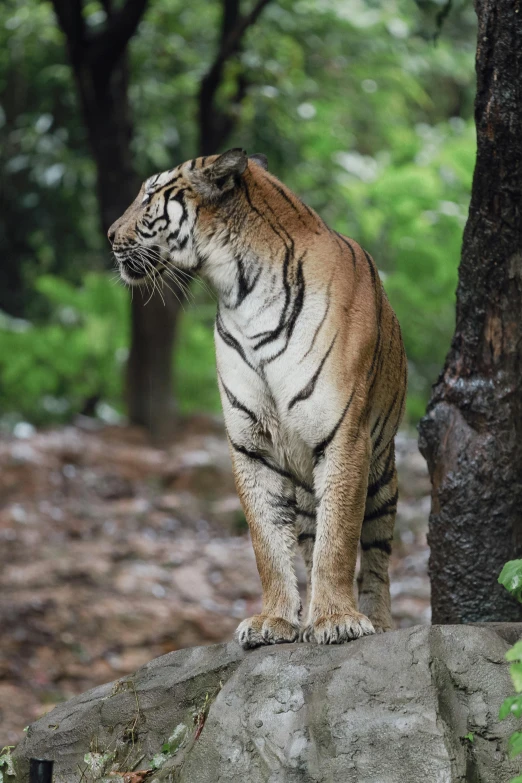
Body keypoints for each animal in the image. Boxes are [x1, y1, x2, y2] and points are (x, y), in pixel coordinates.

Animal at [108, 147, 406, 648]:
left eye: (149, 195)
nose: (110, 235)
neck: (239, 291)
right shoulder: (251, 444)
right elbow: (267, 542)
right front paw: (275, 620)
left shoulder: (344, 436)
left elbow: (340, 539)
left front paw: (336, 620)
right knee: (308, 539)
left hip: (383, 473)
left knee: (377, 554)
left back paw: (378, 621)